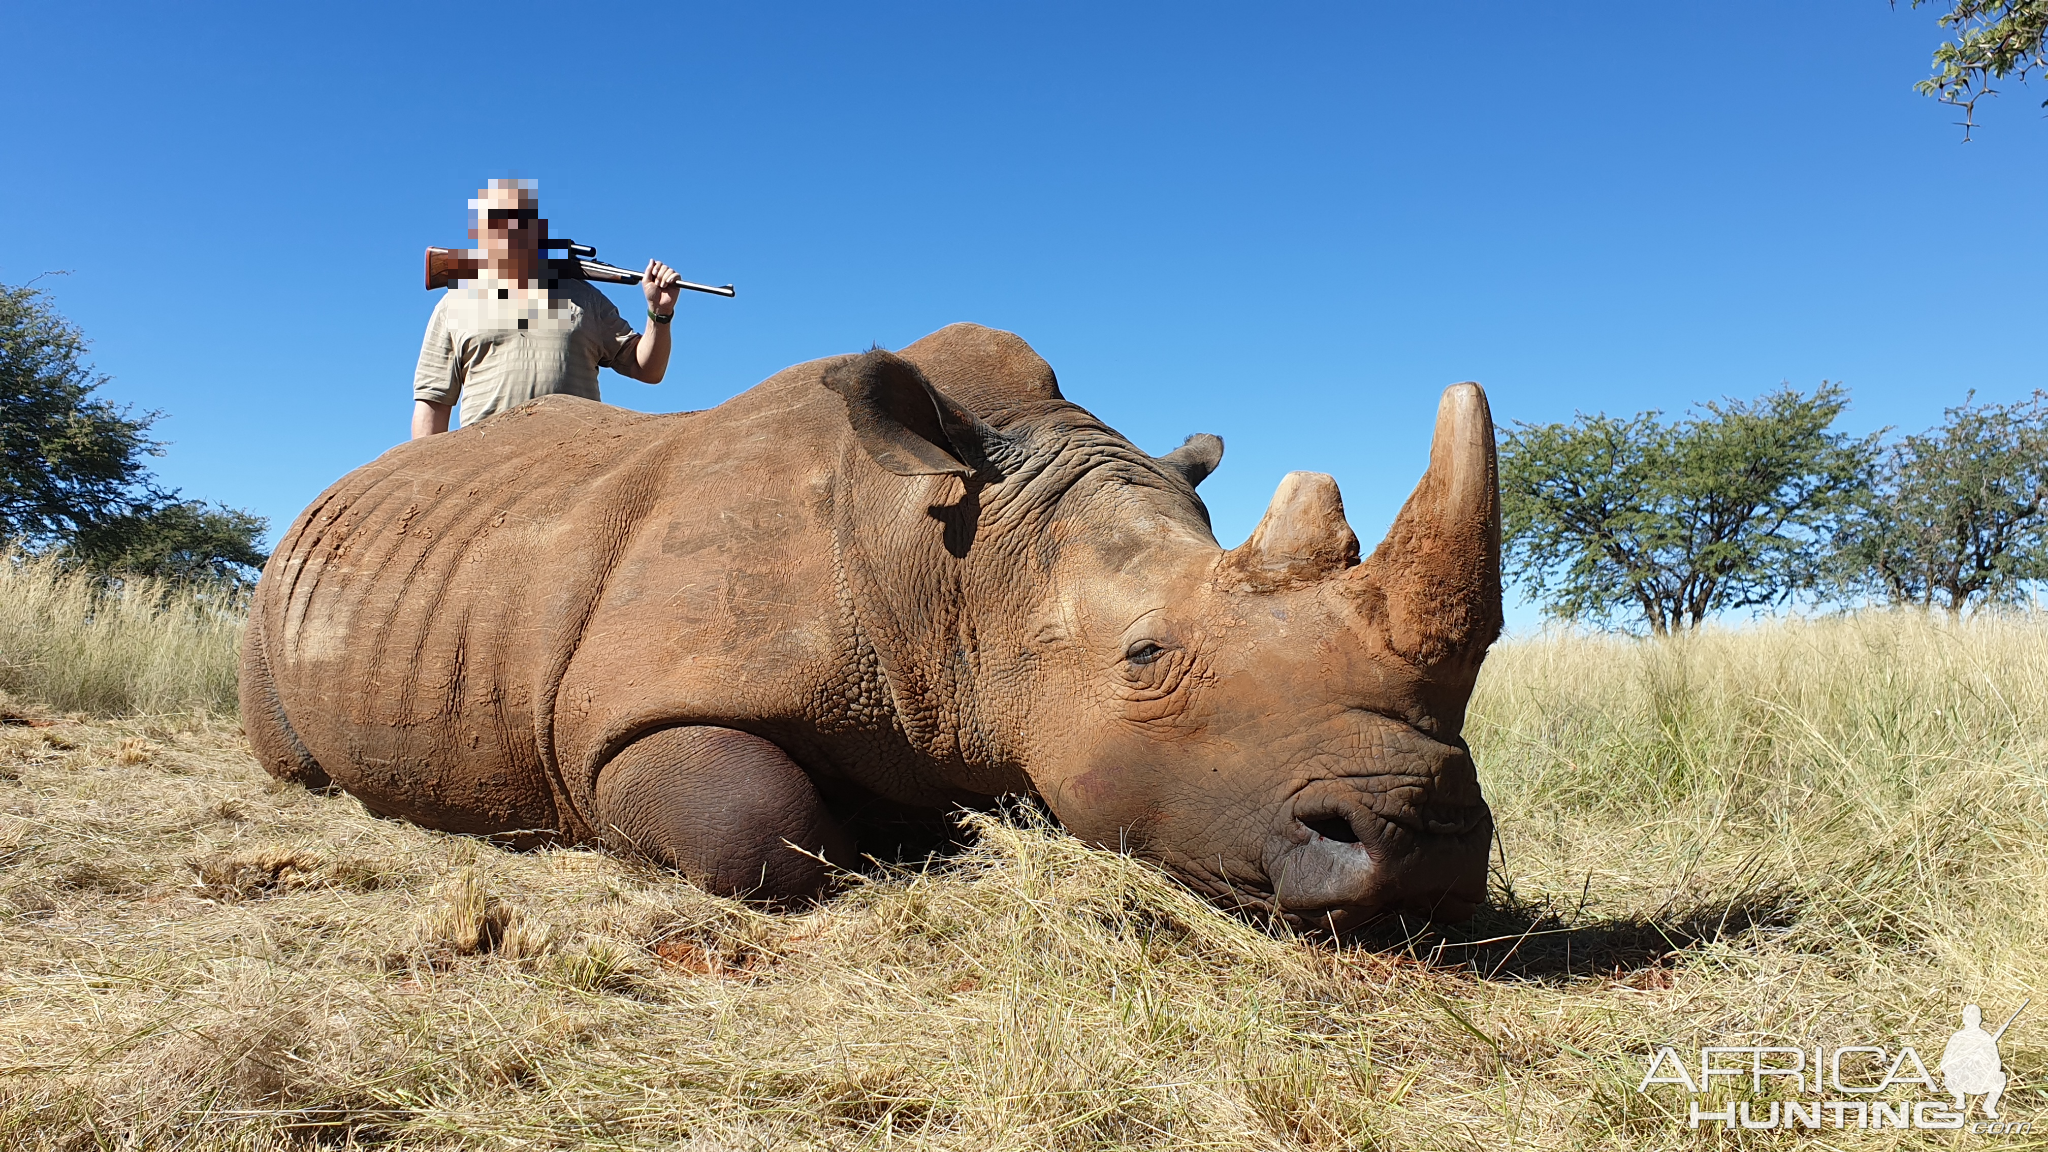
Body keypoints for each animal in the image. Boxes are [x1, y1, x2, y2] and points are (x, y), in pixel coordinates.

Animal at [243, 319, 1507, 922]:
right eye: (1146, 656)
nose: (1424, 840)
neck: (950, 563)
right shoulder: (617, 716)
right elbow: (758, 833)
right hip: (271, 591)